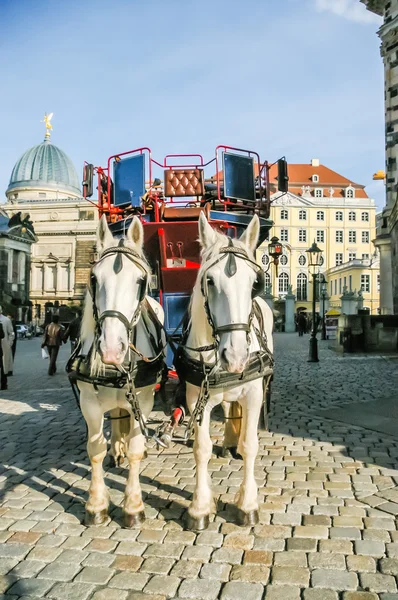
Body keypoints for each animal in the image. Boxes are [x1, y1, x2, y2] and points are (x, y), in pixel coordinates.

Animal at [76, 216, 165, 524]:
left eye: (140, 281)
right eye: (93, 279)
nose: (112, 349)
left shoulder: (146, 400)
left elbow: (137, 449)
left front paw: (134, 505)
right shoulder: (88, 403)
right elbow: (94, 449)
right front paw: (96, 505)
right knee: (116, 415)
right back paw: (117, 447)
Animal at [177, 214, 274, 528]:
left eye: (255, 283)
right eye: (209, 280)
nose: (235, 357)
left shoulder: (254, 394)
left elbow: (251, 444)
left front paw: (248, 504)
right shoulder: (197, 399)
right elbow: (201, 448)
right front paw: (200, 506)